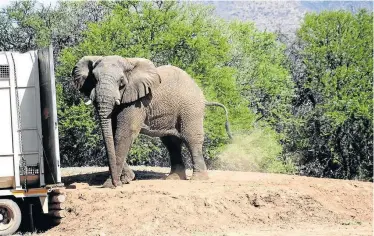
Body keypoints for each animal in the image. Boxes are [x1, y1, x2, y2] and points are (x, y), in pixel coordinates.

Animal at [71, 55, 232, 188]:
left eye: (121, 81)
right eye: (94, 79)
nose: (117, 184)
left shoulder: (137, 102)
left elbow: (124, 133)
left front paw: (110, 185)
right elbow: (112, 133)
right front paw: (128, 179)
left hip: (191, 108)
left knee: (190, 138)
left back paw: (198, 180)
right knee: (171, 143)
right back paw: (173, 179)